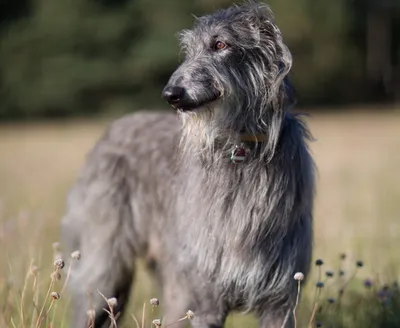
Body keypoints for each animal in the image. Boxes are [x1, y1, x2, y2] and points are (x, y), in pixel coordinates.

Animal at [60, 1, 316, 326]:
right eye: (189, 50)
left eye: (220, 44)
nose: (171, 94)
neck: (241, 150)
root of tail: (111, 129)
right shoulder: (204, 297)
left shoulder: (280, 302)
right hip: (105, 260)